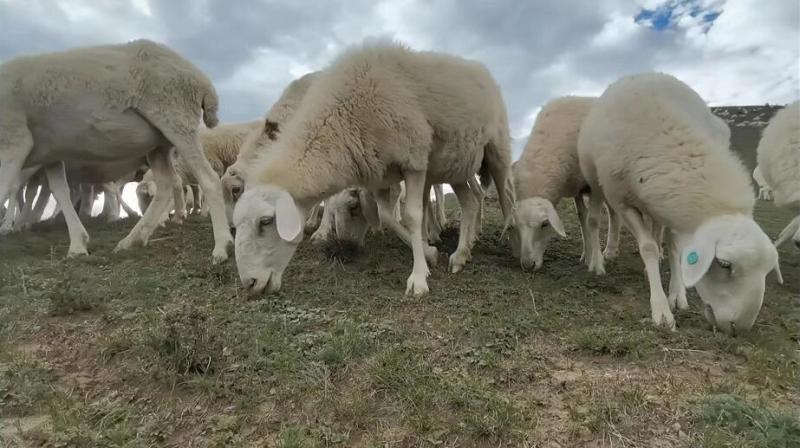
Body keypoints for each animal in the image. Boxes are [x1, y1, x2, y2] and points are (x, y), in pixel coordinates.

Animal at [0, 40, 233, 260]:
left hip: (177, 121)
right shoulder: (52, 153)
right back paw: (133, 239)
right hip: (160, 144)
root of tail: (202, 81)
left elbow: (8, 187)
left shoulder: (14, 140)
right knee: (167, 184)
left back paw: (222, 245)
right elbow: (60, 192)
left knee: (209, 179)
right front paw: (77, 244)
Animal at [234, 42, 516, 298]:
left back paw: (514, 243)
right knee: (471, 202)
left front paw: (418, 278)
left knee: (506, 197)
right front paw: (429, 253)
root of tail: (479, 67)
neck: (344, 118)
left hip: (497, 149)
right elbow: (388, 216)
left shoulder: (414, 159)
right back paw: (461, 255)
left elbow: (412, 216)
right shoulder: (380, 173)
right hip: (454, 164)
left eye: (266, 221)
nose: (249, 283)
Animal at [510, 96, 620, 272]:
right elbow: (582, 218)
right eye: (517, 227)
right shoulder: (577, 185)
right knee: (613, 212)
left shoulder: (593, 184)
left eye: (545, 224)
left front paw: (596, 264)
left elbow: (593, 220)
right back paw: (610, 250)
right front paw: (587, 256)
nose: (528, 265)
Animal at [576, 72, 780, 332]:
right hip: (597, 182)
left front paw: (677, 294)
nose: (740, 329)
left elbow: (674, 246)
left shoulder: (672, 207)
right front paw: (661, 309)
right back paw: (599, 260)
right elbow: (647, 247)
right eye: (724, 264)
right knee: (597, 220)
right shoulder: (622, 201)